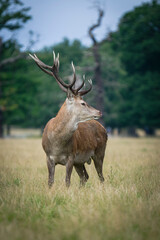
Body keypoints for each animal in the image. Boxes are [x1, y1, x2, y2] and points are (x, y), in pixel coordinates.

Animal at [29, 52, 108, 188]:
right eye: (83, 103)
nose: (99, 112)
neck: (57, 143)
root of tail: (103, 128)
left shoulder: (71, 156)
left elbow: (67, 181)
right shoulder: (48, 157)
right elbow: (50, 181)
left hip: (99, 152)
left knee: (100, 176)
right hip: (80, 161)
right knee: (85, 177)